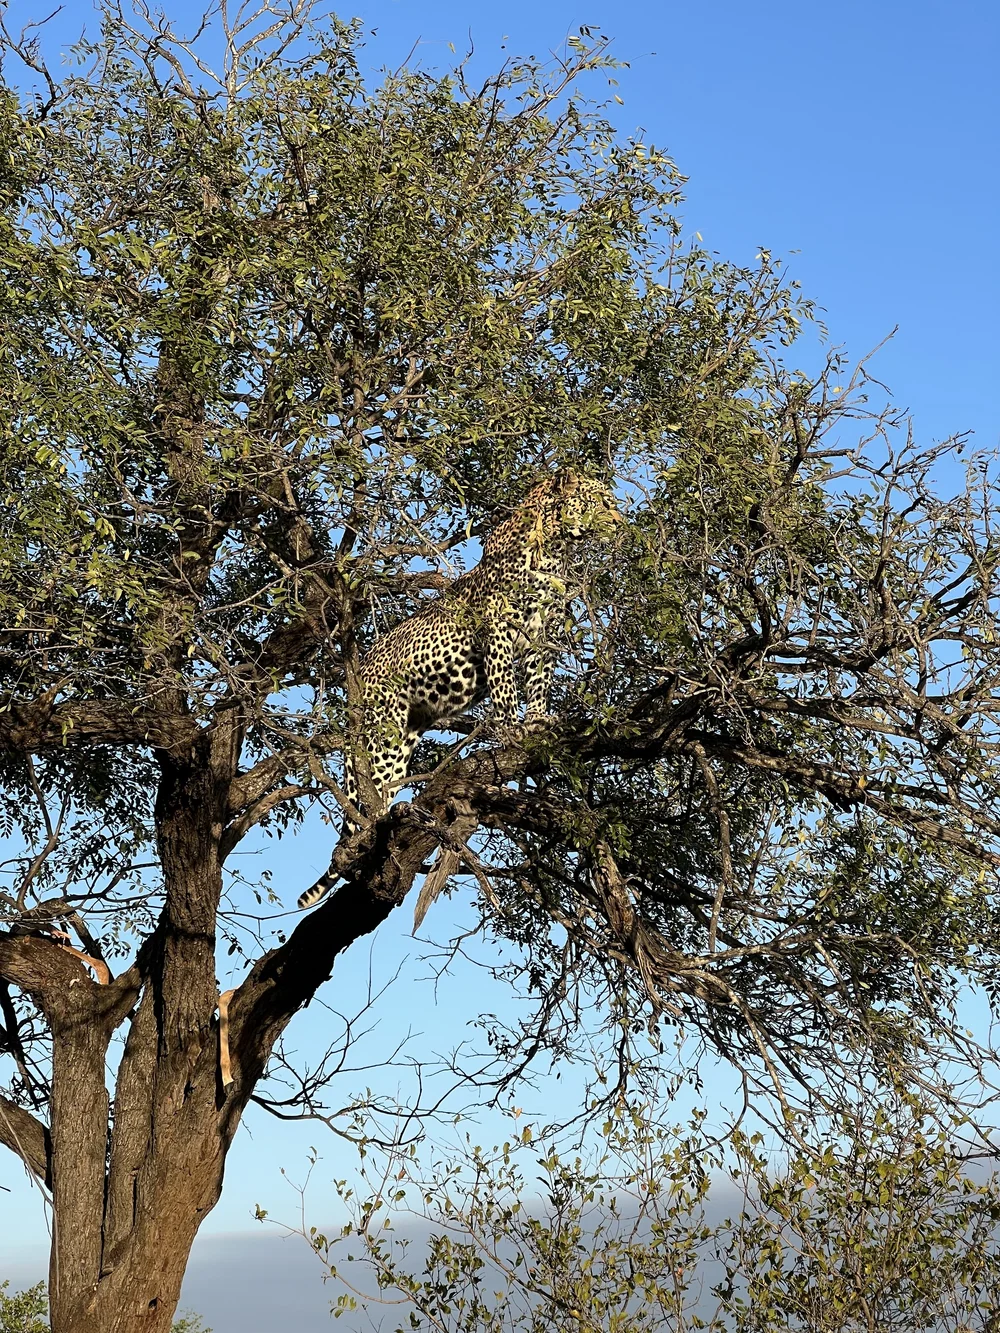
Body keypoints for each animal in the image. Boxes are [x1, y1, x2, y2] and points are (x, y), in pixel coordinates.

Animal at [298, 470, 620, 909]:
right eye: (600, 501)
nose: (620, 522)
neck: (556, 548)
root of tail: (360, 674)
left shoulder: (544, 634)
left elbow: (538, 681)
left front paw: (538, 720)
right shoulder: (499, 628)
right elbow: (505, 686)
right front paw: (511, 729)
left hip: (403, 739)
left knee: (380, 789)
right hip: (383, 731)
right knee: (368, 795)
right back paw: (372, 836)